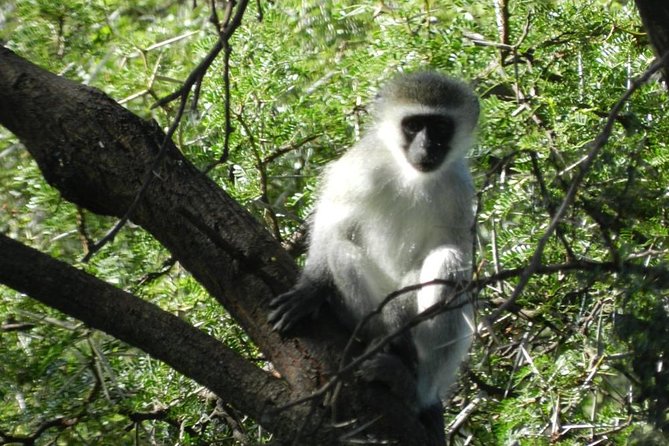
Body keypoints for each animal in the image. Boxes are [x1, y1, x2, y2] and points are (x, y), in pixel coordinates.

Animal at [268, 70, 478, 436]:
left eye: (439, 127)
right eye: (413, 126)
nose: (426, 147)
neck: (411, 174)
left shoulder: (459, 189)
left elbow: (449, 249)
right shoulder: (359, 169)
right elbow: (333, 223)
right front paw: (311, 288)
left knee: (448, 262)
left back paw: (412, 387)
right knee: (340, 251)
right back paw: (385, 343)